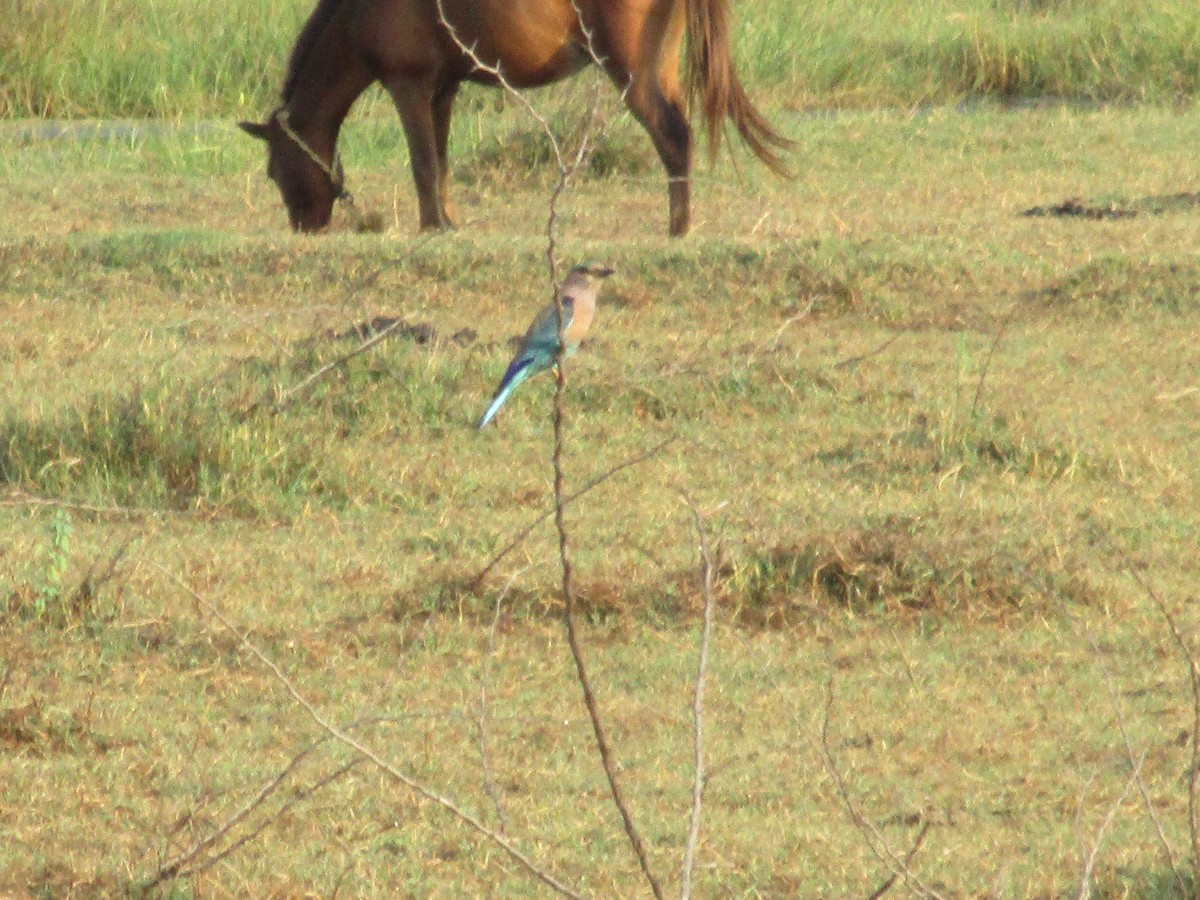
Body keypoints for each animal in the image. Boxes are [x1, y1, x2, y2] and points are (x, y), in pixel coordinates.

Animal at [238, 0, 792, 236]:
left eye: (273, 172)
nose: (303, 229)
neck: (357, 14)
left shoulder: (408, 86)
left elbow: (422, 164)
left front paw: (431, 228)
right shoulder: (442, 90)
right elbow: (440, 164)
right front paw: (448, 222)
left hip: (633, 73)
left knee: (673, 137)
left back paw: (678, 226)